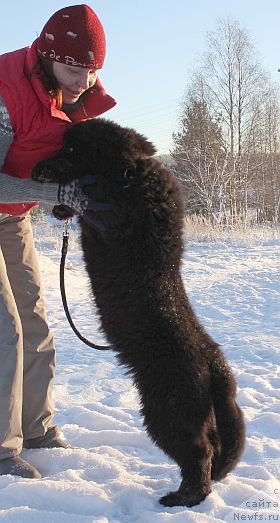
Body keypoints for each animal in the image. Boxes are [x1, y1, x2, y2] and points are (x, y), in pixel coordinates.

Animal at [32, 118, 246, 508]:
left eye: (70, 149)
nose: (37, 166)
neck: (133, 174)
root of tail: (215, 365)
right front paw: (61, 208)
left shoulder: (111, 215)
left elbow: (94, 194)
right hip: (192, 415)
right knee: (210, 451)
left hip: (168, 412)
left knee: (199, 456)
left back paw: (181, 498)